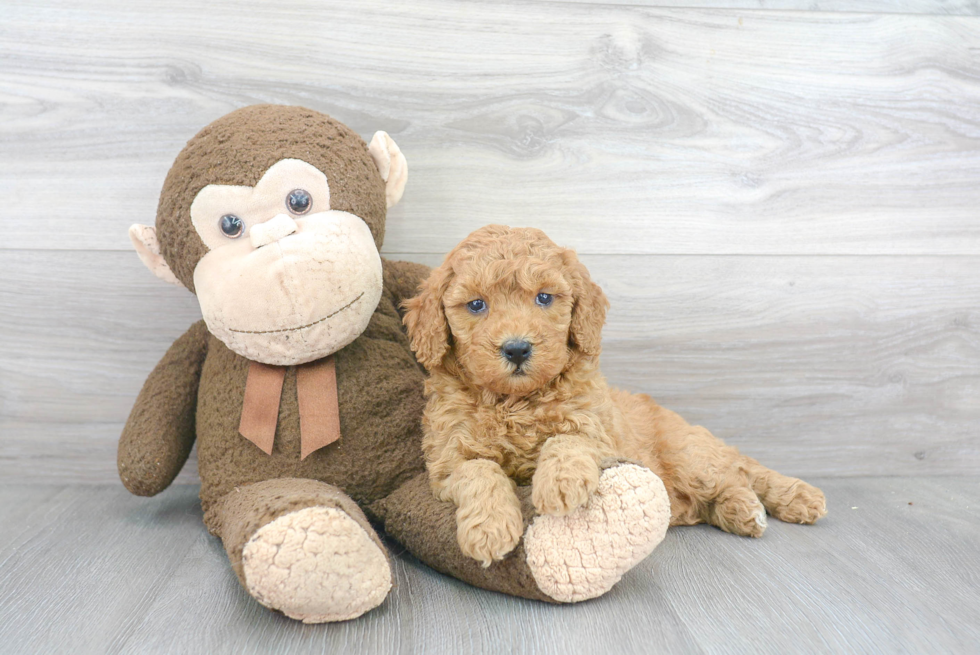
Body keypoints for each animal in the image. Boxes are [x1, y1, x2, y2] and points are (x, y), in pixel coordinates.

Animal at [402, 227, 824, 568]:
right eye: (476, 305)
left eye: (544, 298)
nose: (517, 349)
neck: (515, 402)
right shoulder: (447, 460)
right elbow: (479, 472)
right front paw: (489, 528)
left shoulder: (598, 432)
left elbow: (567, 440)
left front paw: (561, 483)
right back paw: (740, 511)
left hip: (690, 457)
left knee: (737, 471)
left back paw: (767, 504)